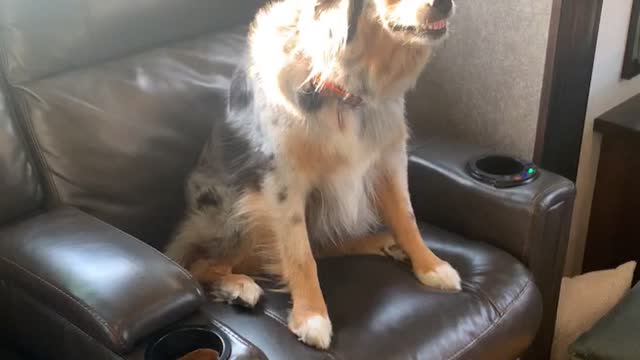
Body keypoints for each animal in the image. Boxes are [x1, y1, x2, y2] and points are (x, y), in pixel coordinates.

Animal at [165, 0, 460, 348]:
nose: (445, 5)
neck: (344, 84)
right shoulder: (283, 184)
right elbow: (300, 255)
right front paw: (311, 316)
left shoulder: (388, 159)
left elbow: (407, 218)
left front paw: (431, 265)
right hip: (236, 207)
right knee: (199, 265)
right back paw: (238, 286)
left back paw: (385, 243)